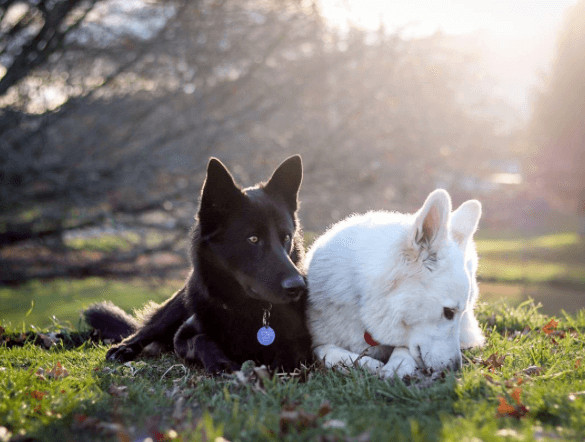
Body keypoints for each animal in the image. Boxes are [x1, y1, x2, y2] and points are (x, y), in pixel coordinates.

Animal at [85, 157, 312, 372]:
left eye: (286, 237)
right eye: (253, 239)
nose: (298, 286)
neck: (247, 309)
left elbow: (294, 347)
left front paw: (284, 363)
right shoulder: (182, 336)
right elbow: (201, 340)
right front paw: (221, 363)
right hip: (175, 308)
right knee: (146, 329)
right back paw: (124, 347)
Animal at [304, 188, 482, 378]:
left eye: (456, 313)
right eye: (448, 312)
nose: (455, 370)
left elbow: (404, 348)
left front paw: (397, 365)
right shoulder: (316, 342)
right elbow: (326, 350)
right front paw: (364, 362)